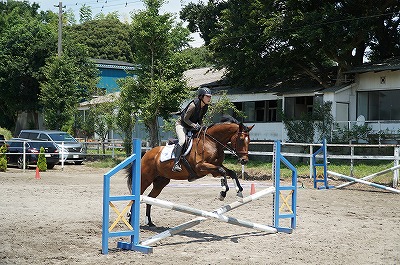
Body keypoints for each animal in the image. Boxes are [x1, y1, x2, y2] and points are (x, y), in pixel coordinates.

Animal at [126, 115, 255, 225]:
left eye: (249, 141)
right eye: (241, 139)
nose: (244, 160)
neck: (212, 142)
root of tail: (146, 154)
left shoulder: (214, 169)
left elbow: (230, 172)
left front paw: (239, 192)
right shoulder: (201, 167)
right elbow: (222, 172)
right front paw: (222, 193)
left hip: (161, 182)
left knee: (150, 198)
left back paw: (149, 221)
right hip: (145, 179)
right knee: (137, 196)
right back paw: (130, 218)